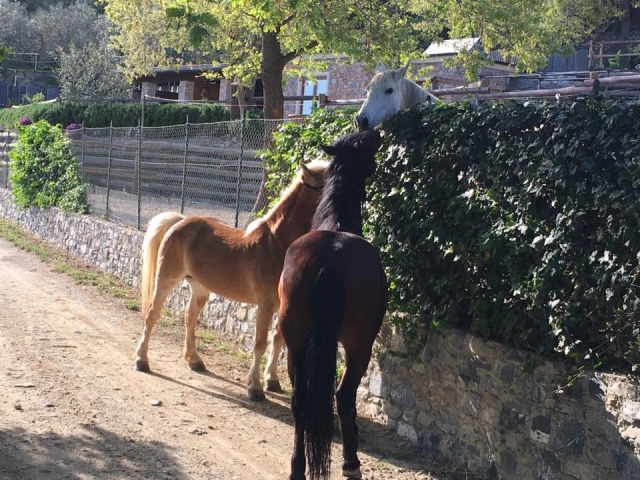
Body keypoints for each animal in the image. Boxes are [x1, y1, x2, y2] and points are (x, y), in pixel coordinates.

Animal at [133, 159, 329, 401]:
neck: (277, 245)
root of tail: (181, 221)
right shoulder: (265, 305)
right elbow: (260, 343)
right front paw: (254, 388)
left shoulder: (285, 304)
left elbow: (277, 339)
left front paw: (272, 380)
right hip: (166, 280)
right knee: (152, 314)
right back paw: (142, 360)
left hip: (200, 288)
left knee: (189, 317)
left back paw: (194, 360)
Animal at [278, 129, 387, 480]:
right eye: (366, 147)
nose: (374, 130)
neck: (336, 224)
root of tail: (331, 257)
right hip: (359, 345)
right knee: (343, 395)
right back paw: (351, 461)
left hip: (295, 341)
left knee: (300, 400)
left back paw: (298, 467)